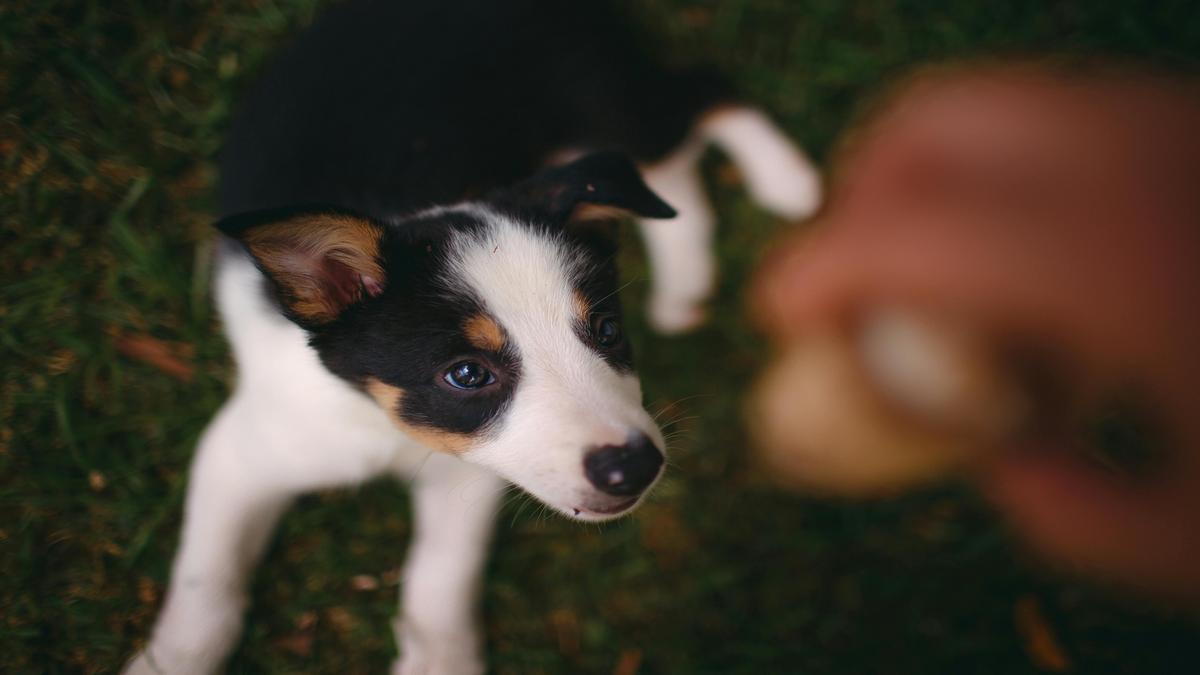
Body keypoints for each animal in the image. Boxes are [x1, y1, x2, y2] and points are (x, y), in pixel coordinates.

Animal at [126, 2, 820, 667]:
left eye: (607, 330)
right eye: (466, 374)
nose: (636, 468)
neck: (383, 422)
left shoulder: (467, 475)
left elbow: (441, 583)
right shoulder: (243, 450)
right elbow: (204, 587)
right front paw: (168, 661)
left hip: (599, 95)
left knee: (695, 101)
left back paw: (787, 188)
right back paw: (691, 279)